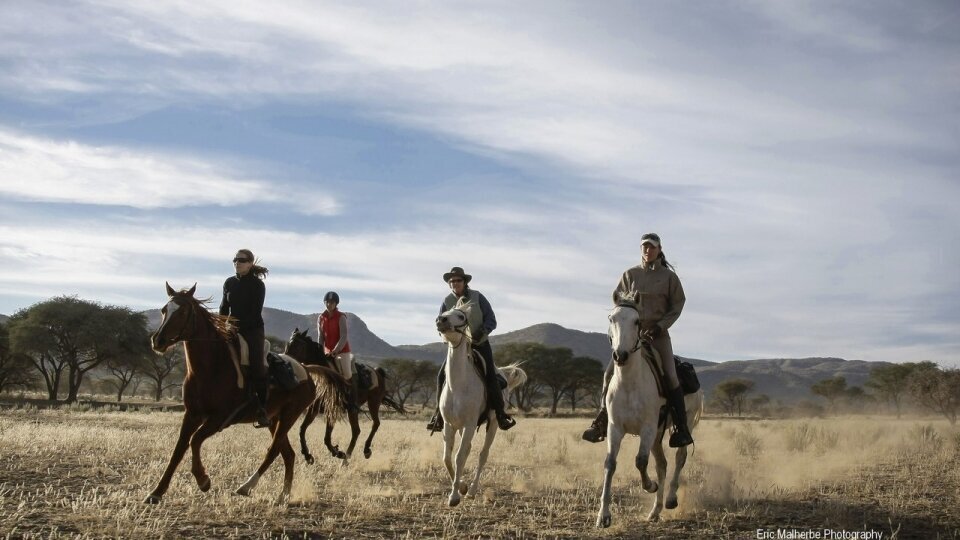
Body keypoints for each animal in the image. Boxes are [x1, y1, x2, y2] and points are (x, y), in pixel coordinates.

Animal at [146, 284, 348, 504]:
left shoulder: (219, 418)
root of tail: (306, 369)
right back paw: (283, 495)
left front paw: (203, 480)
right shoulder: (192, 414)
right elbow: (179, 449)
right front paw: (156, 492)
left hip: (289, 416)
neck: (212, 366)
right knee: (288, 454)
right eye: (164, 310)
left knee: (273, 451)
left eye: (182, 312)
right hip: (274, 419)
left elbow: (195, 440)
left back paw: (247, 486)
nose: (158, 340)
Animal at [284, 330, 404, 464]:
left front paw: (337, 452)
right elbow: (302, 429)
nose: (286, 363)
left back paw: (361, 452)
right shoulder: (314, 409)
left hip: (372, 403)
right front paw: (307, 455)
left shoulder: (332, 409)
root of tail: (377, 372)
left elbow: (327, 437)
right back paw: (348, 457)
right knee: (357, 431)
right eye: (287, 344)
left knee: (373, 425)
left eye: (297, 346)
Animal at [436, 304, 524, 506]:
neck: (458, 384)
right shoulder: (449, 425)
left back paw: (472, 491)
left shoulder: (469, 425)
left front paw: (455, 496)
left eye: (461, 316)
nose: (441, 320)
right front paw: (460, 486)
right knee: (467, 450)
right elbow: (447, 458)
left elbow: (459, 457)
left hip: (493, 424)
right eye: (444, 312)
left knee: (483, 455)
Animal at [596, 292, 700, 528]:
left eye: (637, 321)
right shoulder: (615, 428)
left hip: (683, 424)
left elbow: (640, 461)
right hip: (657, 435)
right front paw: (603, 516)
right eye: (611, 319)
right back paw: (655, 511)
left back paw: (670, 499)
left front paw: (650, 486)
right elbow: (610, 464)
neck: (629, 384)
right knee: (662, 464)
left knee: (680, 457)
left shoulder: (648, 428)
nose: (620, 356)